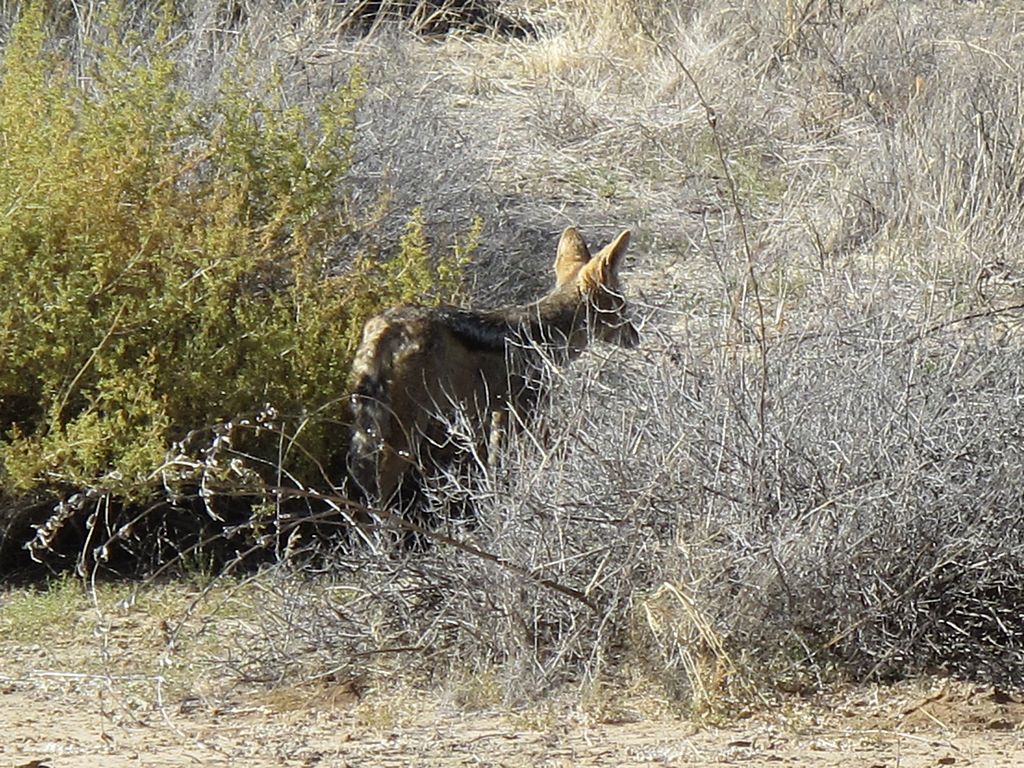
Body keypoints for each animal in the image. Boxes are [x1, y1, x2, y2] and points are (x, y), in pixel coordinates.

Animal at [347, 226, 639, 508]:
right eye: (622, 307)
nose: (637, 337)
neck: (547, 333)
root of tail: (385, 325)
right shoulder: (526, 413)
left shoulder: (500, 414)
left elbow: (493, 468)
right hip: (404, 439)